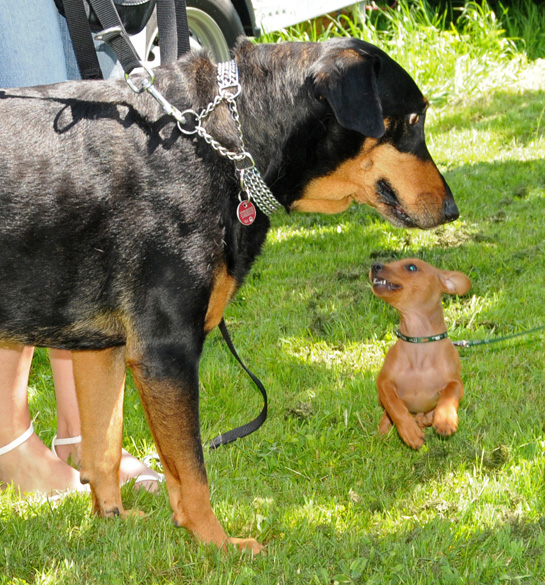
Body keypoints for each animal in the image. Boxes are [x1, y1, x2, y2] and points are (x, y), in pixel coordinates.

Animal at [0, 38, 456, 548]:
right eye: (413, 119)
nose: (453, 209)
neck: (227, 145)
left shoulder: (101, 350)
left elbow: (104, 447)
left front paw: (112, 520)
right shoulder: (165, 352)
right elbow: (191, 473)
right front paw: (218, 544)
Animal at [370, 258, 472, 450]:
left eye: (411, 267)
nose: (375, 265)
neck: (419, 344)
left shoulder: (456, 383)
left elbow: (448, 395)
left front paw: (445, 420)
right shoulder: (384, 382)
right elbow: (395, 406)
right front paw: (410, 433)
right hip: (380, 398)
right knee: (387, 412)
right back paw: (385, 430)